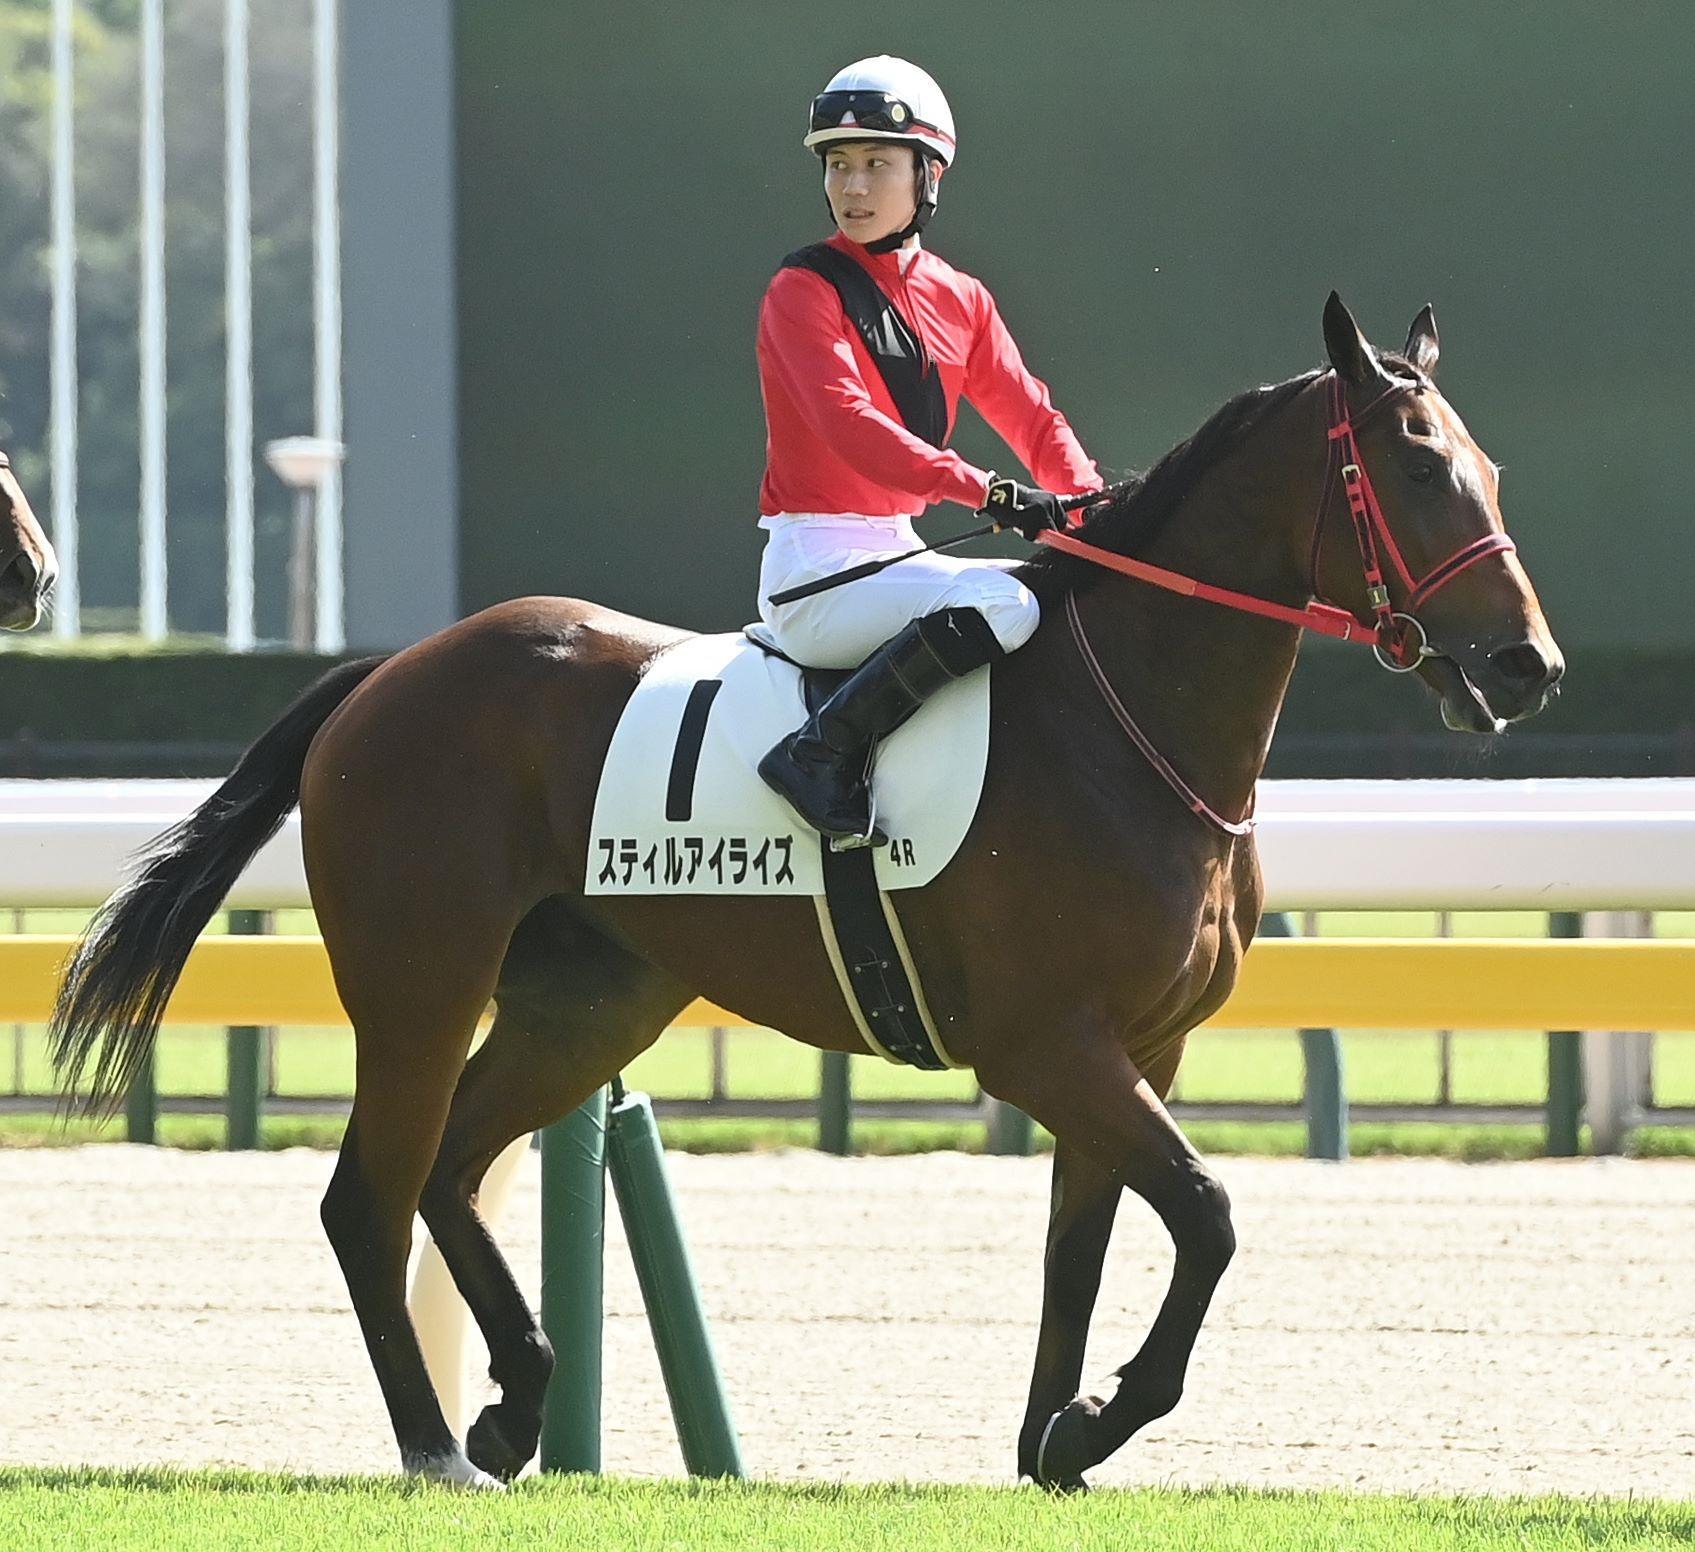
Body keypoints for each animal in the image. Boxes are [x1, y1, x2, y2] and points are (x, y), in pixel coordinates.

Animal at [49, 295, 1562, 1491]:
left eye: (1489, 465)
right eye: (1417, 464)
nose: (1525, 666)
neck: (1126, 718)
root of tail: (389, 673)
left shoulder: (1139, 1049)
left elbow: (1083, 1250)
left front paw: (1050, 1443)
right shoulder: (1047, 1046)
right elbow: (1205, 1213)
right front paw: (1096, 1421)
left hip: (586, 1003)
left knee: (452, 1167)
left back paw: (515, 1404)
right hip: (418, 984)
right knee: (369, 1194)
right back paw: (436, 1447)